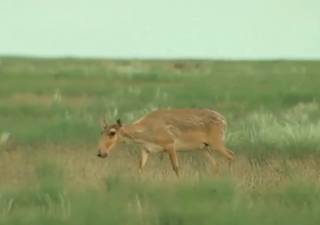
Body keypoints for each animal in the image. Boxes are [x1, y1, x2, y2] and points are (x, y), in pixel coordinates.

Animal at [96, 108, 234, 176]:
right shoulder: (146, 150)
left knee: (231, 155)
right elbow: (140, 168)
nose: (100, 153)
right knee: (215, 164)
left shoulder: (170, 145)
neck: (147, 128)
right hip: (204, 148)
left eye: (112, 132)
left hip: (217, 144)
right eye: (101, 132)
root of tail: (223, 120)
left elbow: (176, 168)